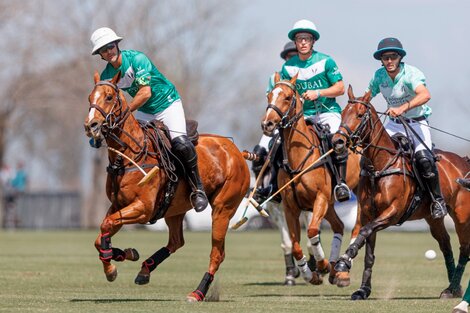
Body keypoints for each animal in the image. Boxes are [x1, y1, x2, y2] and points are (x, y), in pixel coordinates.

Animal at [84, 70, 250, 300]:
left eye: (109, 97)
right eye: (89, 98)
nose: (90, 126)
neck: (128, 156)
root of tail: (237, 152)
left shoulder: (144, 208)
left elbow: (106, 226)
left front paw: (112, 267)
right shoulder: (117, 205)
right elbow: (100, 236)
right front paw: (123, 256)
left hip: (223, 209)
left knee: (217, 253)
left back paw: (198, 292)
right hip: (175, 209)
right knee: (176, 241)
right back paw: (145, 269)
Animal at [260, 74, 360, 284]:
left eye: (288, 97)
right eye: (269, 95)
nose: (267, 124)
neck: (299, 158)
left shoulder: (320, 198)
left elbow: (313, 232)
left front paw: (321, 265)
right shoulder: (290, 207)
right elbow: (295, 244)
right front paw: (309, 274)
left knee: (356, 227)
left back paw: (341, 270)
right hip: (329, 204)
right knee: (339, 226)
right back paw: (334, 271)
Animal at [330, 85, 470, 300]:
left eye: (360, 115)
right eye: (344, 113)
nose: (337, 141)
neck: (379, 166)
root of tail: (463, 160)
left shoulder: (393, 212)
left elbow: (364, 230)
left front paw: (344, 260)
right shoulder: (369, 213)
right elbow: (369, 253)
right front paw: (363, 290)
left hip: (461, 215)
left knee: (464, 249)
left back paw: (452, 288)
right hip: (433, 218)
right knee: (446, 245)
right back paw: (452, 289)